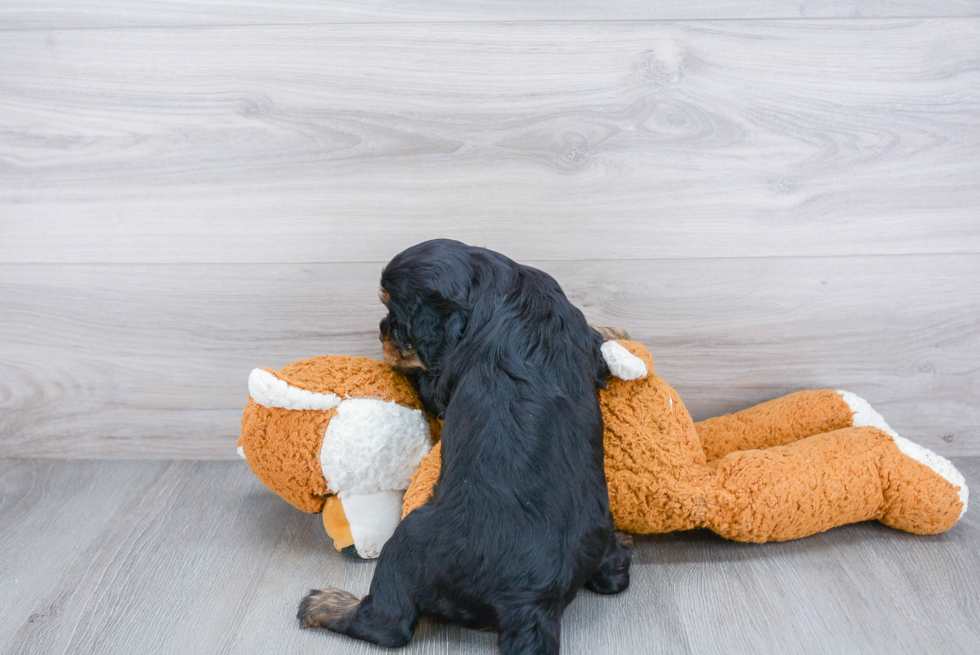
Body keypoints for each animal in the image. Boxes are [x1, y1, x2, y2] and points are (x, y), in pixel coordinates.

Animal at [298, 241, 632, 655]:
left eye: (397, 316)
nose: (381, 330)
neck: (500, 287)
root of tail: (530, 602)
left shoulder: (440, 380)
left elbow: (426, 384)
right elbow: (596, 345)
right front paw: (612, 331)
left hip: (408, 544)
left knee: (387, 623)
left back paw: (325, 605)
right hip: (597, 534)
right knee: (613, 579)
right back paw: (620, 550)